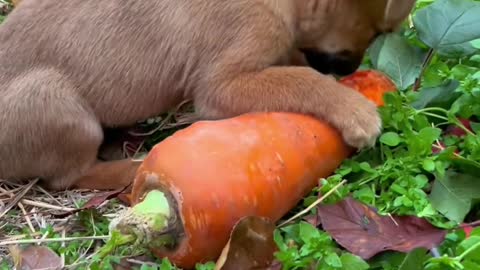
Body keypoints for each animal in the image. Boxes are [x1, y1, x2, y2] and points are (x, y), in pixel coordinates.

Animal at [0, 0, 414, 191]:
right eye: (381, 30)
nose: (350, 70)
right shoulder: (222, 84)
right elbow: (301, 78)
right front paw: (355, 110)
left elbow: (294, 65)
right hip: (54, 96)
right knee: (69, 177)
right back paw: (136, 165)